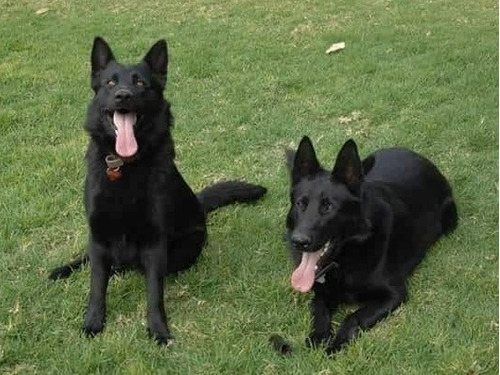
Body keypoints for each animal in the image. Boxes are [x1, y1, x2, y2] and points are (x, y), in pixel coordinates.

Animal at [50, 36, 268, 346]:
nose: (123, 96)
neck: (125, 167)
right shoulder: (99, 235)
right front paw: (92, 322)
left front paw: (158, 330)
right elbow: (96, 286)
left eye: (140, 83)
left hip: (185, 248)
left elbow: (154, 292)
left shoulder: (154, 245)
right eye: (110, 83)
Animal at [282, 137, 458, 356]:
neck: (347, 258)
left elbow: (353, 317)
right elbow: (319, 311)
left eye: (328, 206)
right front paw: (318, 337)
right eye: (300, 204)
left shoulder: (393, 295)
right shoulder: (321, 293)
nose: (299, 241)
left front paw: (336, 344)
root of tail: (417, 156)